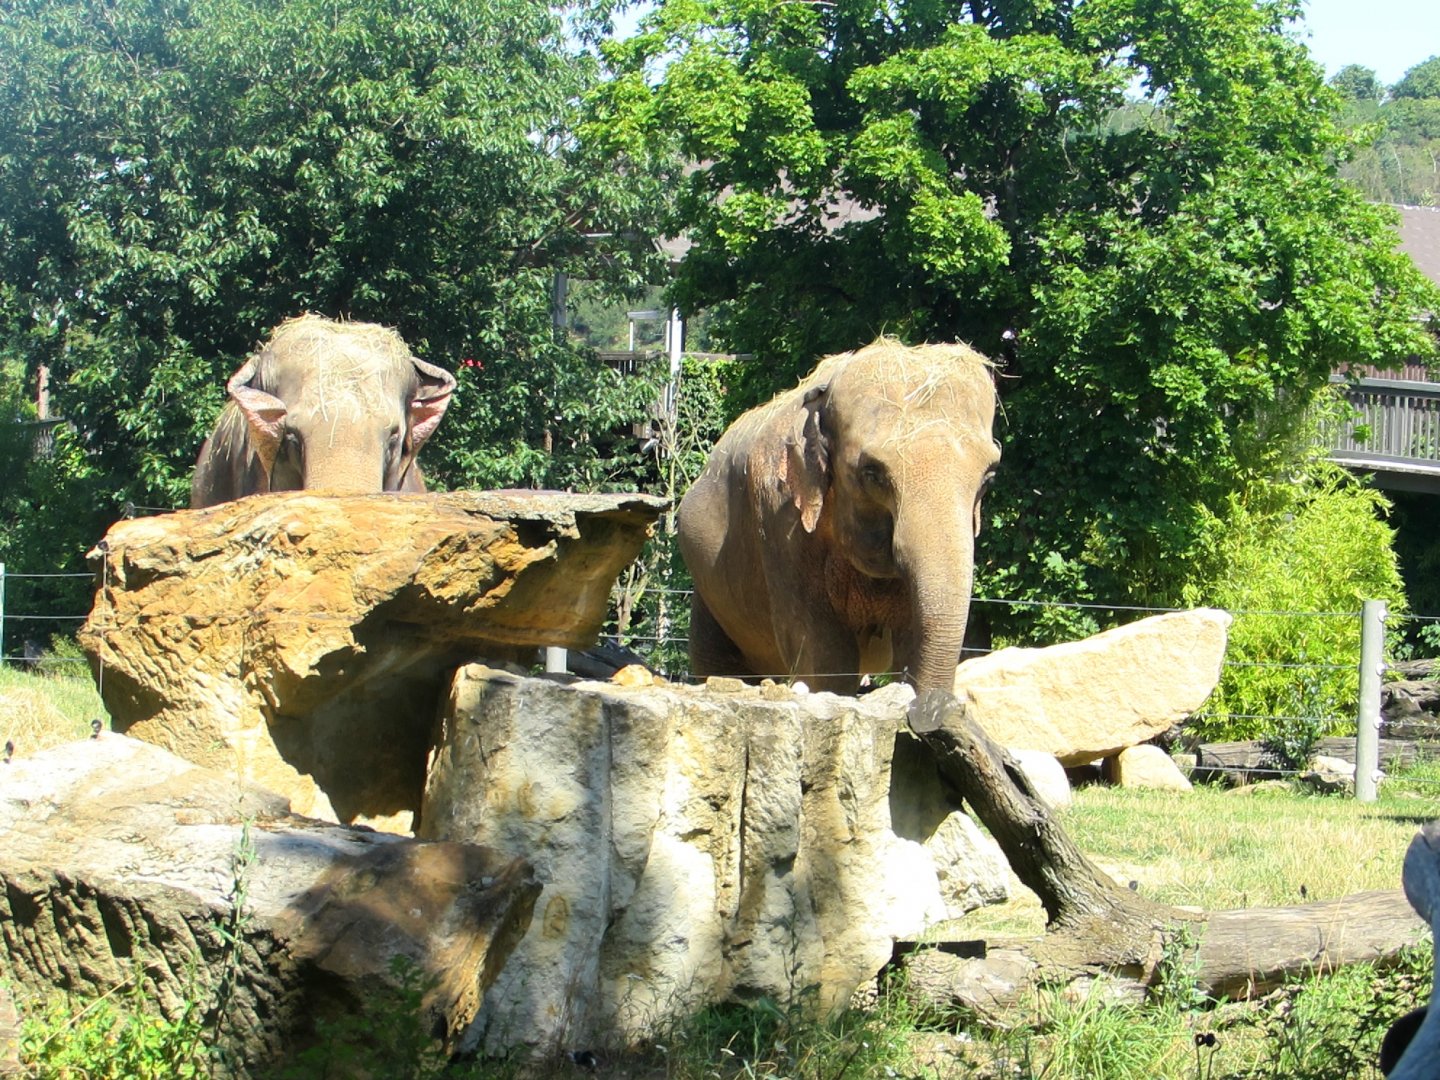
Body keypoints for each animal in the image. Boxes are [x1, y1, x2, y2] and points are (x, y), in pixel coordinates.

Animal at [678, 338, 999, 696]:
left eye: (989, 478)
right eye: (872, 473)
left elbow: (910, 640)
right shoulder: (779, 518)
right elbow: (825, 653)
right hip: (709, 591)